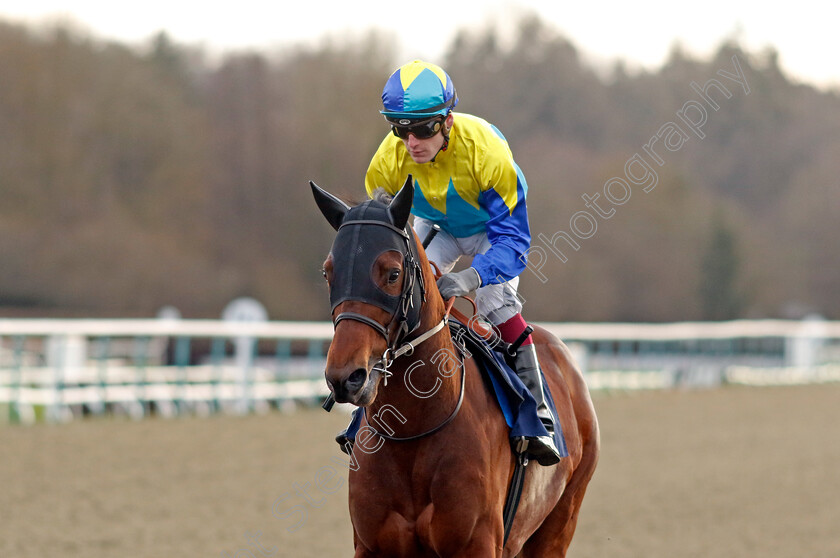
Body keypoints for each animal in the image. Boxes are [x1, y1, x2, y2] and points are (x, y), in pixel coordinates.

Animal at [312, 178, 600, 558]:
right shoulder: (371, 546)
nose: (346, 377)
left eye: (392, 273)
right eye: (328, 272)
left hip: (559, 523)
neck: (415, 429)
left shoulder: (477, 543)